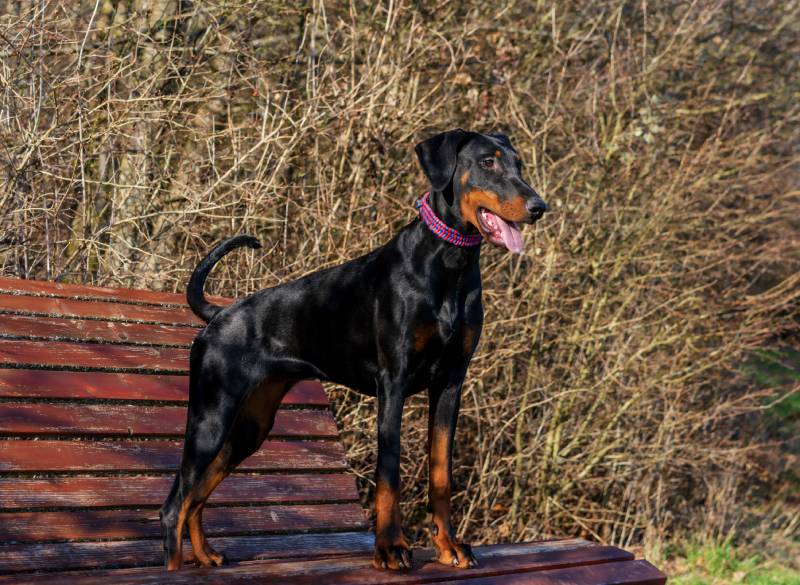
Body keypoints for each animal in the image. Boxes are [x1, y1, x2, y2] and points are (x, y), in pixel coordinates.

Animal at [159, 129, 548, 572]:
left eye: (519, 164)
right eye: (488, 162)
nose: (539, 207)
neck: (450, 261)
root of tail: (219, 314)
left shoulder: (450, 384)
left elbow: (441, 473)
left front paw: (448, 547)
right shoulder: (393, 382)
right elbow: (389, 472)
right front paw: (390, 549)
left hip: (250, 426)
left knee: (197, 496)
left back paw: (205, 554)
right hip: (210, 416)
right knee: (174, 503)